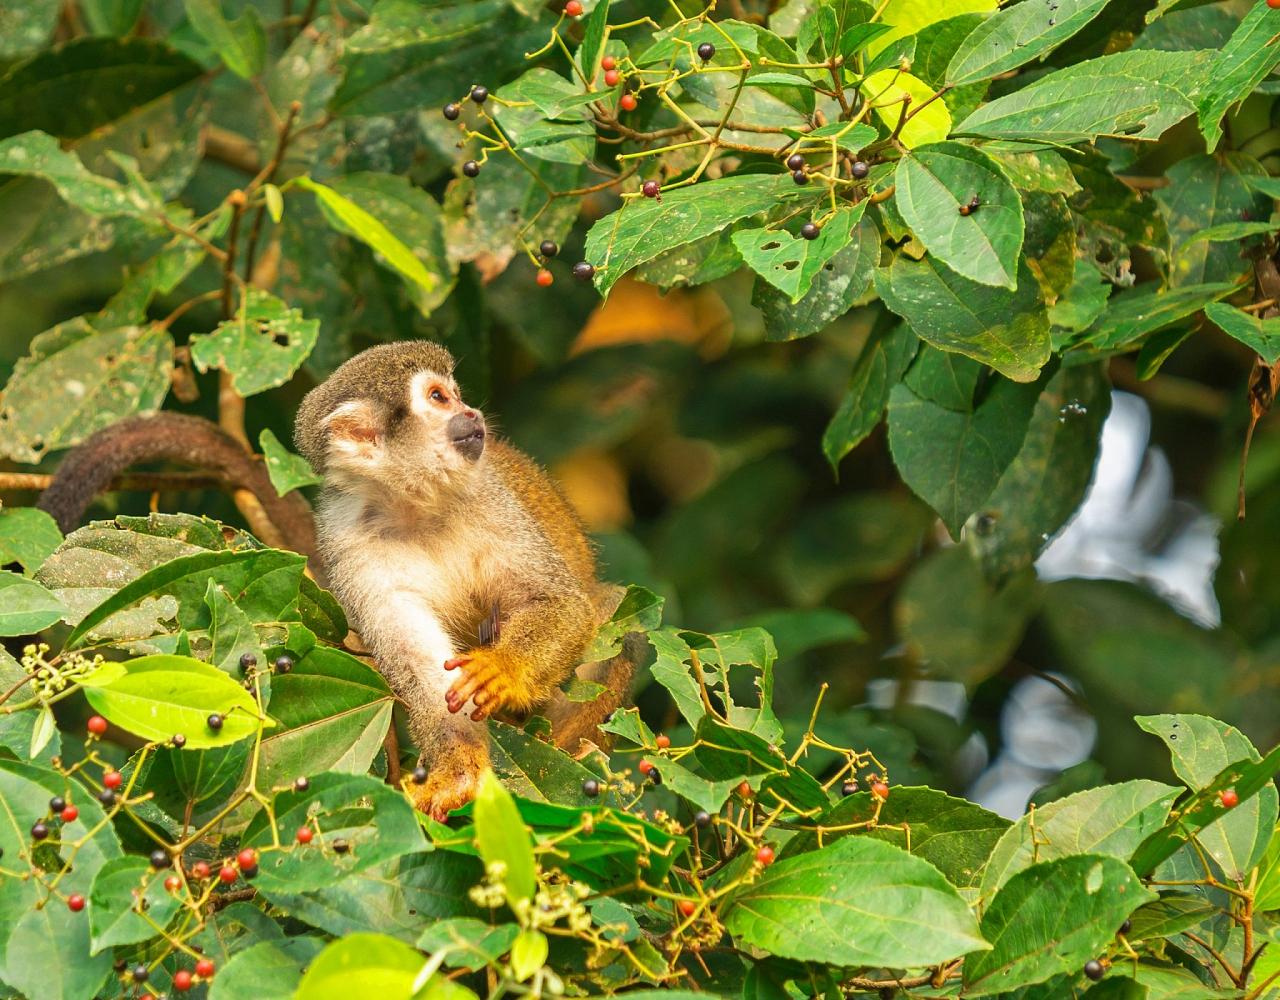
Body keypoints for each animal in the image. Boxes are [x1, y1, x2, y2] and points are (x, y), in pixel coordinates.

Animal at [295, 343, 634, 819]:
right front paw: (457, 769)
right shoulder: (347, 544)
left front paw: (503, 669)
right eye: (439, 398)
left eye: (455, 394)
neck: (414, 505)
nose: (471, 412)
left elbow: (558, 602)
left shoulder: (490, 497)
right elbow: (416, 662)